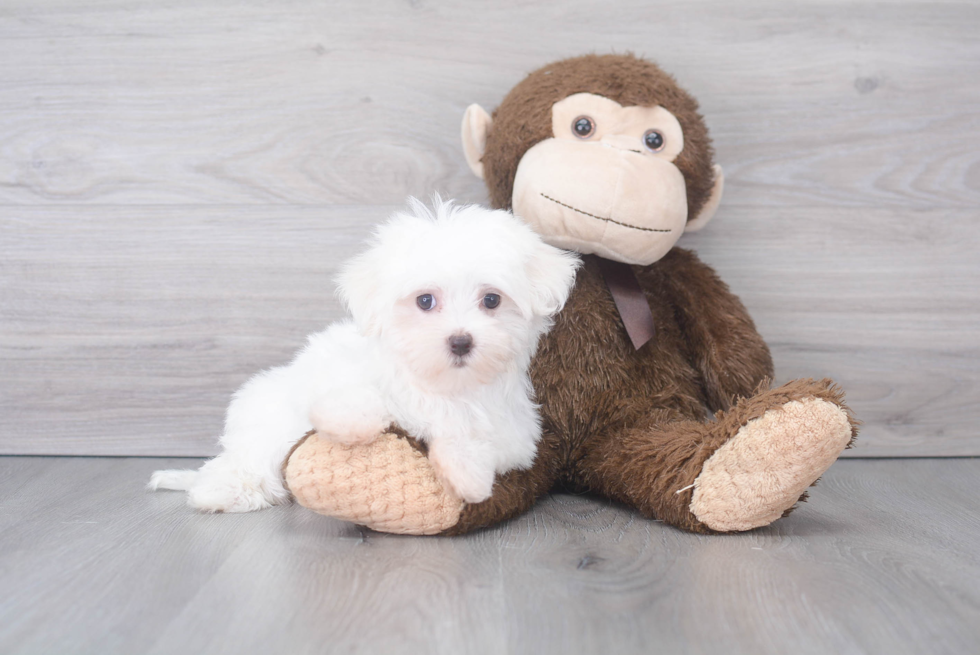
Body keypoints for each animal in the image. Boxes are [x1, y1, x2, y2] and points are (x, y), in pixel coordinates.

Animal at [148, 200, 580, 512]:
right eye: (425, 301)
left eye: (491, 300)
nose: (460, 341)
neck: (442, 384)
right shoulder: (334, 367)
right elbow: (360, 399)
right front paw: (351, 420)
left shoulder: (514, 435)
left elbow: (472, 438)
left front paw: (469, 476)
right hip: (262, 424)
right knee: (242, 466)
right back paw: (219, 492)